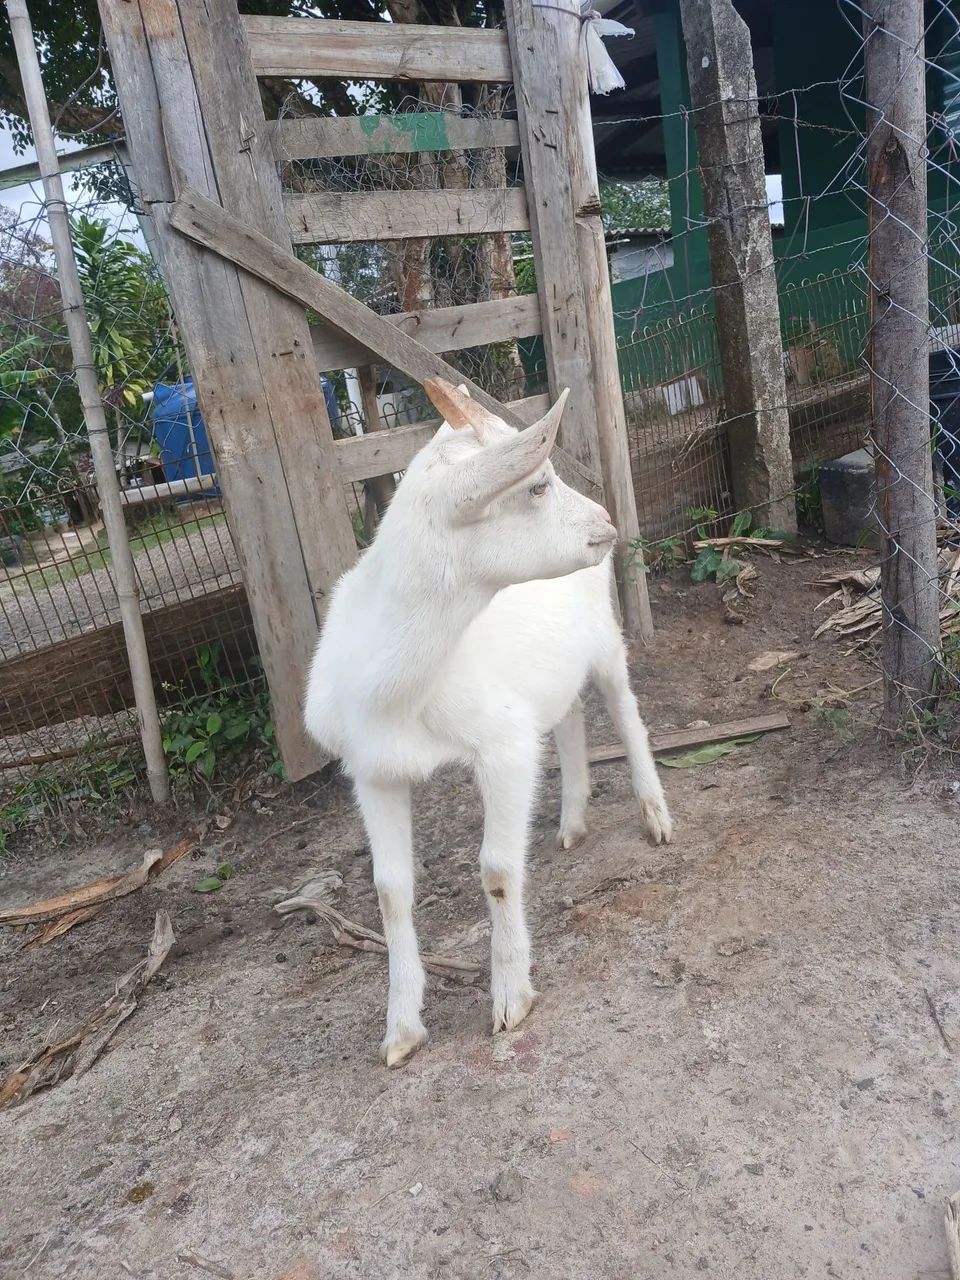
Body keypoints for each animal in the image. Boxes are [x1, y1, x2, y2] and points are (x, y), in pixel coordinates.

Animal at [304, 379, 672, 1066]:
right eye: (538, 485)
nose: (606, 520)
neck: (399, 691)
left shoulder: (502, 746)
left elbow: (497, 869)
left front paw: (510, 1000)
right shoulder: (372, 770)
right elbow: (389, 889)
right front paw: (400, 1031)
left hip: (605, 637)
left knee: (626, 713)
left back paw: (656, 816)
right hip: (551, 672)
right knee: (569, 715)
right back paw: (572, 821)